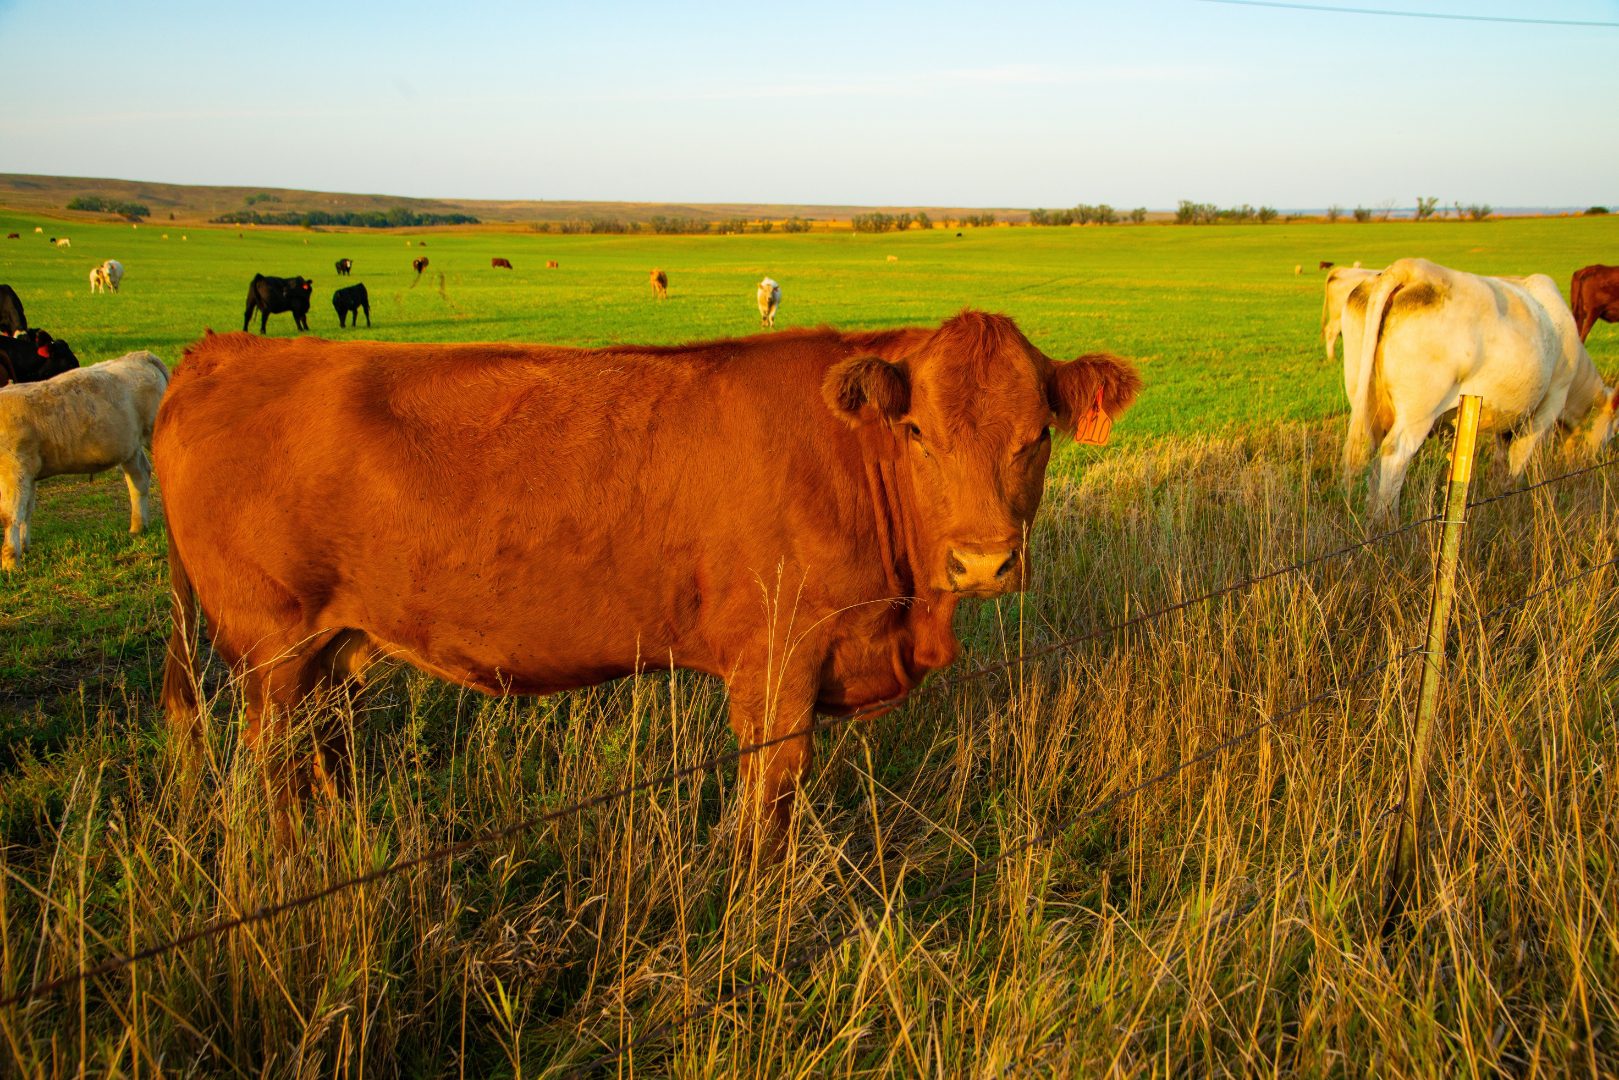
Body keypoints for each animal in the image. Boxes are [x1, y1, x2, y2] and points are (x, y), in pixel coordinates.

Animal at [0, 351, 169, 570]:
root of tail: (139, 356)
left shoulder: (15, 471)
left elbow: (10, 515)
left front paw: (10, 562)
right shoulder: (28, 475)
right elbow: (26, 511)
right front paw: (23, 547)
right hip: (129, 446)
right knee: (139, 478)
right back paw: (138, 527)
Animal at [155, 312, 1141, 837]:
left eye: (1037, 436)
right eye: (917, 433)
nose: (982, 560)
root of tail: (225, 349)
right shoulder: (777, 664)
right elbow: (767, 812)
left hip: (333, 650)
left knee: (319, 763)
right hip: (273, 653)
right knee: (273, 775)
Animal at [1342, 258, 1617, 518]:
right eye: (1615, 430)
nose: (1596, 457)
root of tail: (1412, 268)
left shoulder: (1509, 415)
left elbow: (1501, 456)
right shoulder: (1550, 402)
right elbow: (1519, 457)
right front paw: (1512, 501)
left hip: (1368, 402)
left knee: (1375, 454)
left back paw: (1370, 517)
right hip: (1419, 411)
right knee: (1395, 453)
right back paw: (1386, 519)